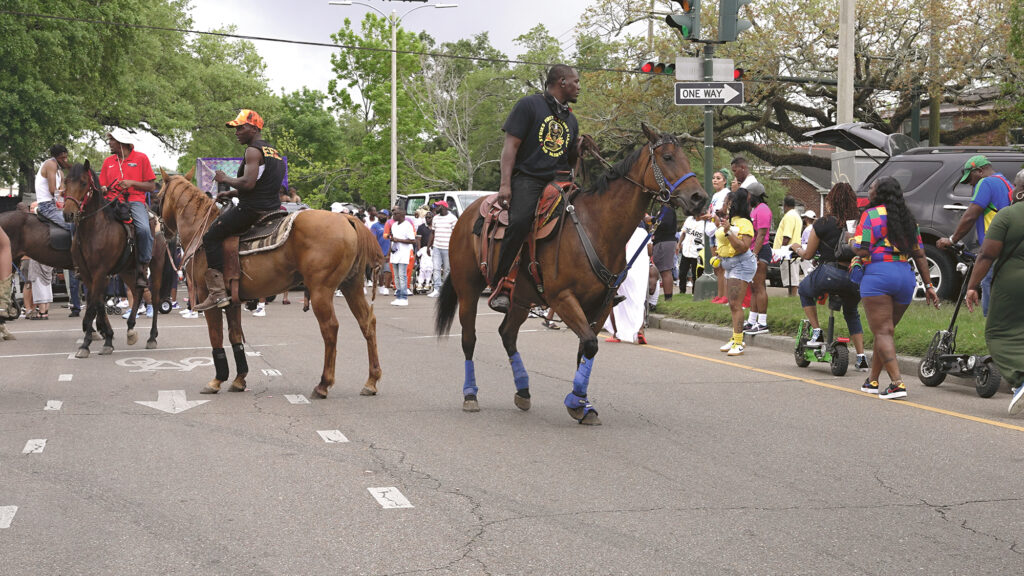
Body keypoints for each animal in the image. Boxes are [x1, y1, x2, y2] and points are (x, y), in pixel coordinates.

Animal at [61, 159, 168, 354]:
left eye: (83, 183)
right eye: (66, 181)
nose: (68, 213)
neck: (94, 230)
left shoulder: (100, 272)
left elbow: (93, 306)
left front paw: (86, 344)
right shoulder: (88, 275)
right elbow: (98, 304)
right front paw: (107, 338)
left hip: (156, 265)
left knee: (155, 299)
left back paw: (152, 337)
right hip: (128, 270)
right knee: (138, 292)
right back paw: (131, 328)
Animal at [155, 168, 385, 397]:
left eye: (157, 198)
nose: (162, 230)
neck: (201, 229)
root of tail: (347, 219)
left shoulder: (207, 296)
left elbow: (216, 335)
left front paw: (217, 379)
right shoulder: (233, 301)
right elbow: (235, 336)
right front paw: (239, 379)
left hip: (322, 290)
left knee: (330, 328)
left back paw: (323, 384)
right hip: (351, 286)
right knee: (367, 322)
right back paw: (371, 381)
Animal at [432, 123, 704, 424]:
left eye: (687, 157)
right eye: (667, 157)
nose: (699, 198)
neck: (597, 227)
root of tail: (466, 214)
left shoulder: (601, 305)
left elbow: (586, 349)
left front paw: (582, 404)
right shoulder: (563, 298)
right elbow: (589, 344)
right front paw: (576, 401)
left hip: (521, 298)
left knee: (507, 334)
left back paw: (523, 391)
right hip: (468, 289)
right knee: (469, 339)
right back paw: (470, 394)